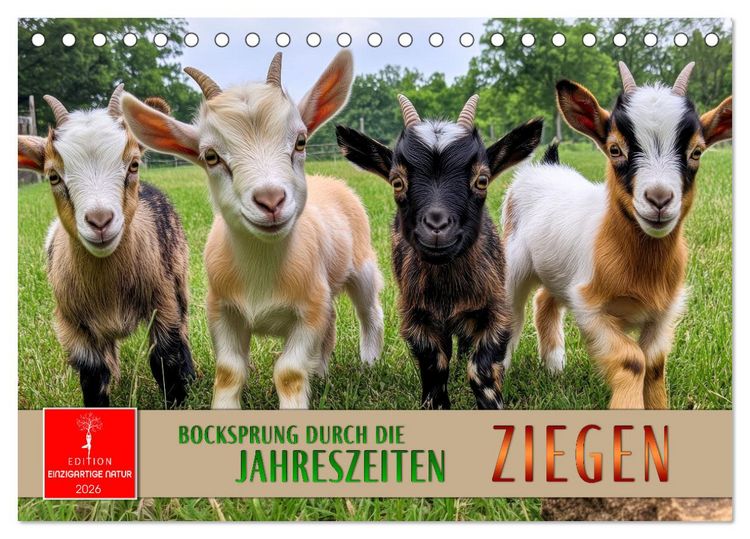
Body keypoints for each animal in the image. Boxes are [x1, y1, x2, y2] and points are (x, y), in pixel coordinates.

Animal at [17, 86, 195, 407]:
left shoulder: (162, 301)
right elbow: (93, 377)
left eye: (133, 164)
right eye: (53, 175)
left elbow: (166, 359)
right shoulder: (72, 325)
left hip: (179, 276)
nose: (100, 221)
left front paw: (179, 399)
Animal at [121, 51, 384, 409]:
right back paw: (321, 373)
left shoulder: (308, 311)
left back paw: (369, 362)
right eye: (211, 156)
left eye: (300, 141)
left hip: (362, 267)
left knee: (370, 311)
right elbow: (229, 371)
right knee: (331, 324)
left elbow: (288, 372)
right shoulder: (221, 310)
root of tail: (329, 182)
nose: (271, 200)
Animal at [336, 95, 543, 409]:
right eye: (397, 182)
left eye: (482, 180)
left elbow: (481, 370)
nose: (437, 226)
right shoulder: (416, 316)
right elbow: (434, 368)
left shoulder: (496, 310)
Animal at [502, 62, 732, 408]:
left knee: (544, 300)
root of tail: (546, 165)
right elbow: (632, 360)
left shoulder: (663, 313)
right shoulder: (590, 308)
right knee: (510, 314)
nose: (659, 199)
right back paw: (497, 371)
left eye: (697, 152)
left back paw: (554, 366)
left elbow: (653, 364)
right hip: (514, 262)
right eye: (614, 149)